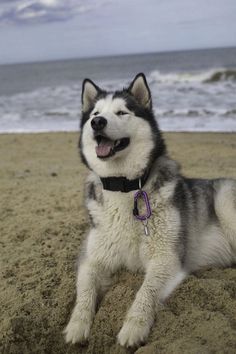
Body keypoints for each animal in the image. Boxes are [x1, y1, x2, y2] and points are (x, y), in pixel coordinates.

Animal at [64, 73, 236, 348]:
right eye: (95, 113)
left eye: (122, 112)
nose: (97, 123)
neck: (124, 186)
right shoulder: (91, 259)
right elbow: (85, 293)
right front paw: (77, 326)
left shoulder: (166, 257)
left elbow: (146, 292)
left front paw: (133, 328)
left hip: (225, 200)